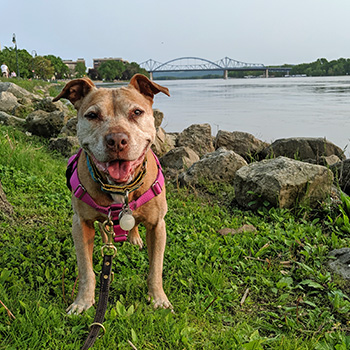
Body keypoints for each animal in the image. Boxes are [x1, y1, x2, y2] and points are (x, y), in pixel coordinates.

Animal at [52, 74, 172, 314]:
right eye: (92, 115)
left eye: (137, 112)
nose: (116, 140)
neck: (120, 190)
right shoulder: (80, 225)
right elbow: (86, 270)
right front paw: (83, 302)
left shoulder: (158, 225)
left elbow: (155, 268)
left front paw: (158, 299)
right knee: (104, 229)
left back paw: (134, 237)